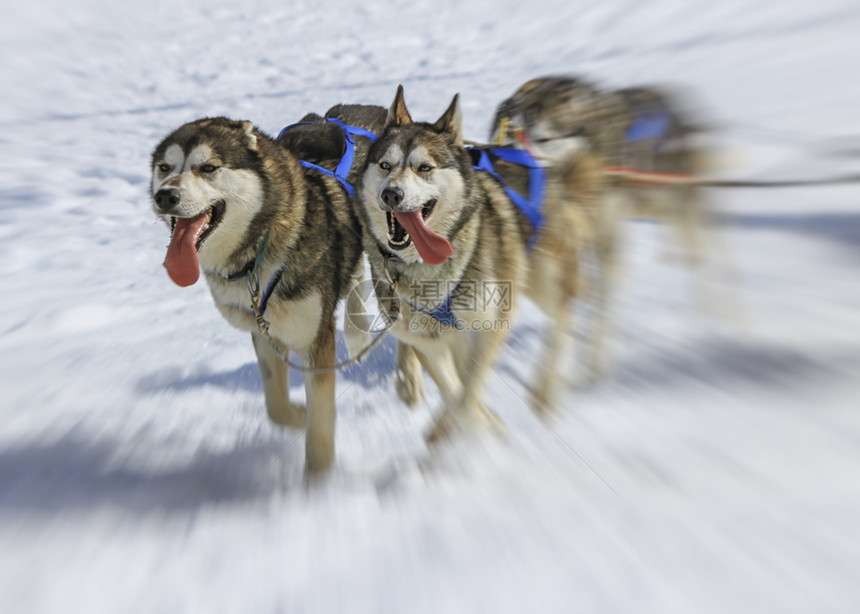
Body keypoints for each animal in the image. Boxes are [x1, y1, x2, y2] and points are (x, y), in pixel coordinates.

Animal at [150, 112, 382, 476]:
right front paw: (299, 415)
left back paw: (359, 334)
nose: (165, 196)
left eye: (208, 167)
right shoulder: (263, 331)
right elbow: (276, 407)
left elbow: (321, 421)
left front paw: (320, 482)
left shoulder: (314, 338)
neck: (258, 251)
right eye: (164, 167)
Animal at [352, 88, 588, 442]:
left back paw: (544, 393)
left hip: (545, 280)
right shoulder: (427, 338)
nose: (392, 194)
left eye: (424, 168)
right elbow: (456, 391)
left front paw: (483, 434)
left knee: (563, 319)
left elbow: (467, 393)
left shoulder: (490, 325)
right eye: (385, 165)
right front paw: (474, 427)